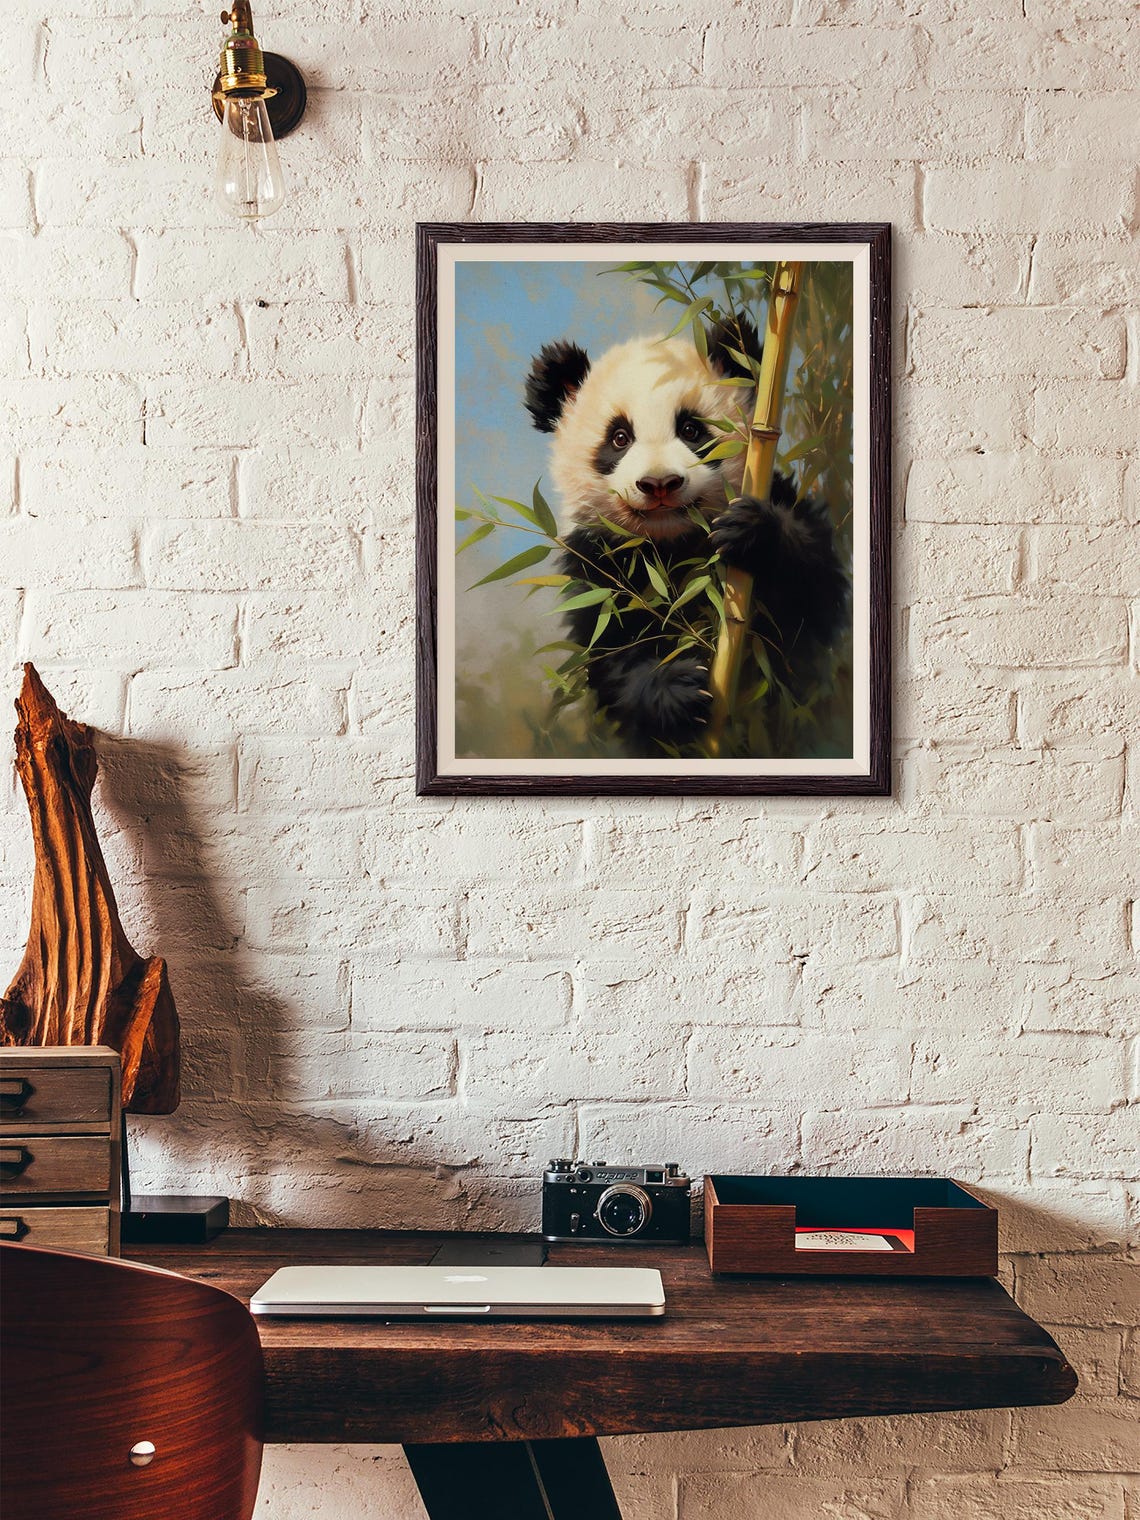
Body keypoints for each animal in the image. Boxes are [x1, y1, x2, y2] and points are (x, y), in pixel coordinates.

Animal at [524, 319, 849, 756]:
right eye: (620, 438)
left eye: (691, 429)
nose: (659, 484)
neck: (671, 545)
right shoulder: (600, 563)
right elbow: (611, 649)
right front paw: (675, 690)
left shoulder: (781, 501)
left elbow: (813, 598)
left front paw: (753, 532)